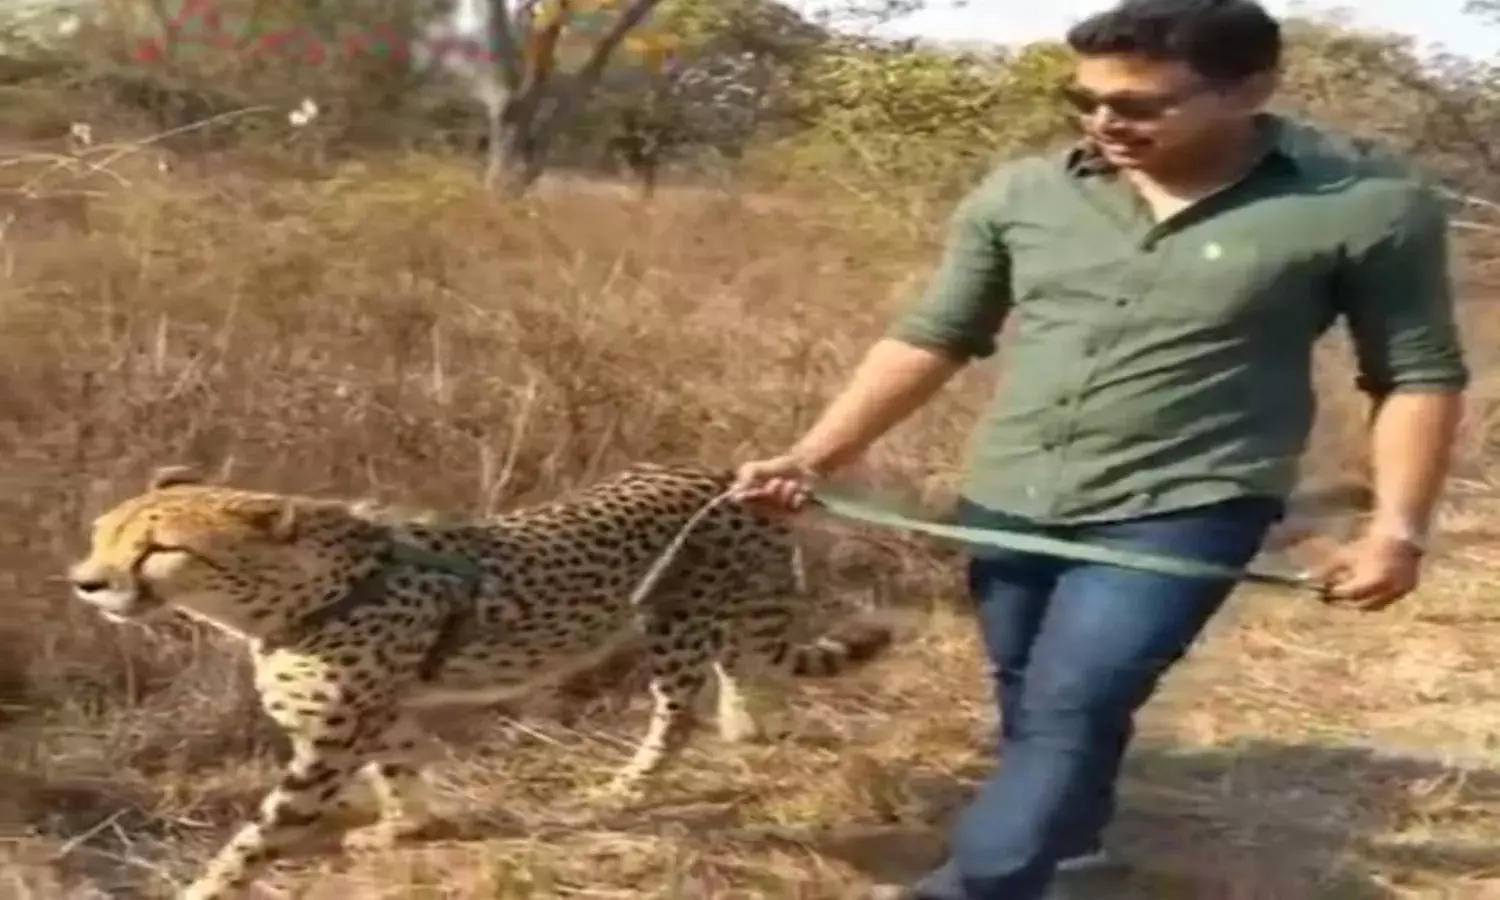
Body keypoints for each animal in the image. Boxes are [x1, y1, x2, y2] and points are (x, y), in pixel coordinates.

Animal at [66, 461, 893, 900]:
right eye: (102, 532)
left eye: (160, 549)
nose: (86, 583)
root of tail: (728, 478)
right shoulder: (384, 712)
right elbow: (400, 770)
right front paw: (406, 827)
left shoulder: (330, 744)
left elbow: (260, 832)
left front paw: (207, 885)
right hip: (722, 611)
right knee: (747, 669)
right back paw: (749, 727)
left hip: (675, 623)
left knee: (677, 712)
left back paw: (627, 788)